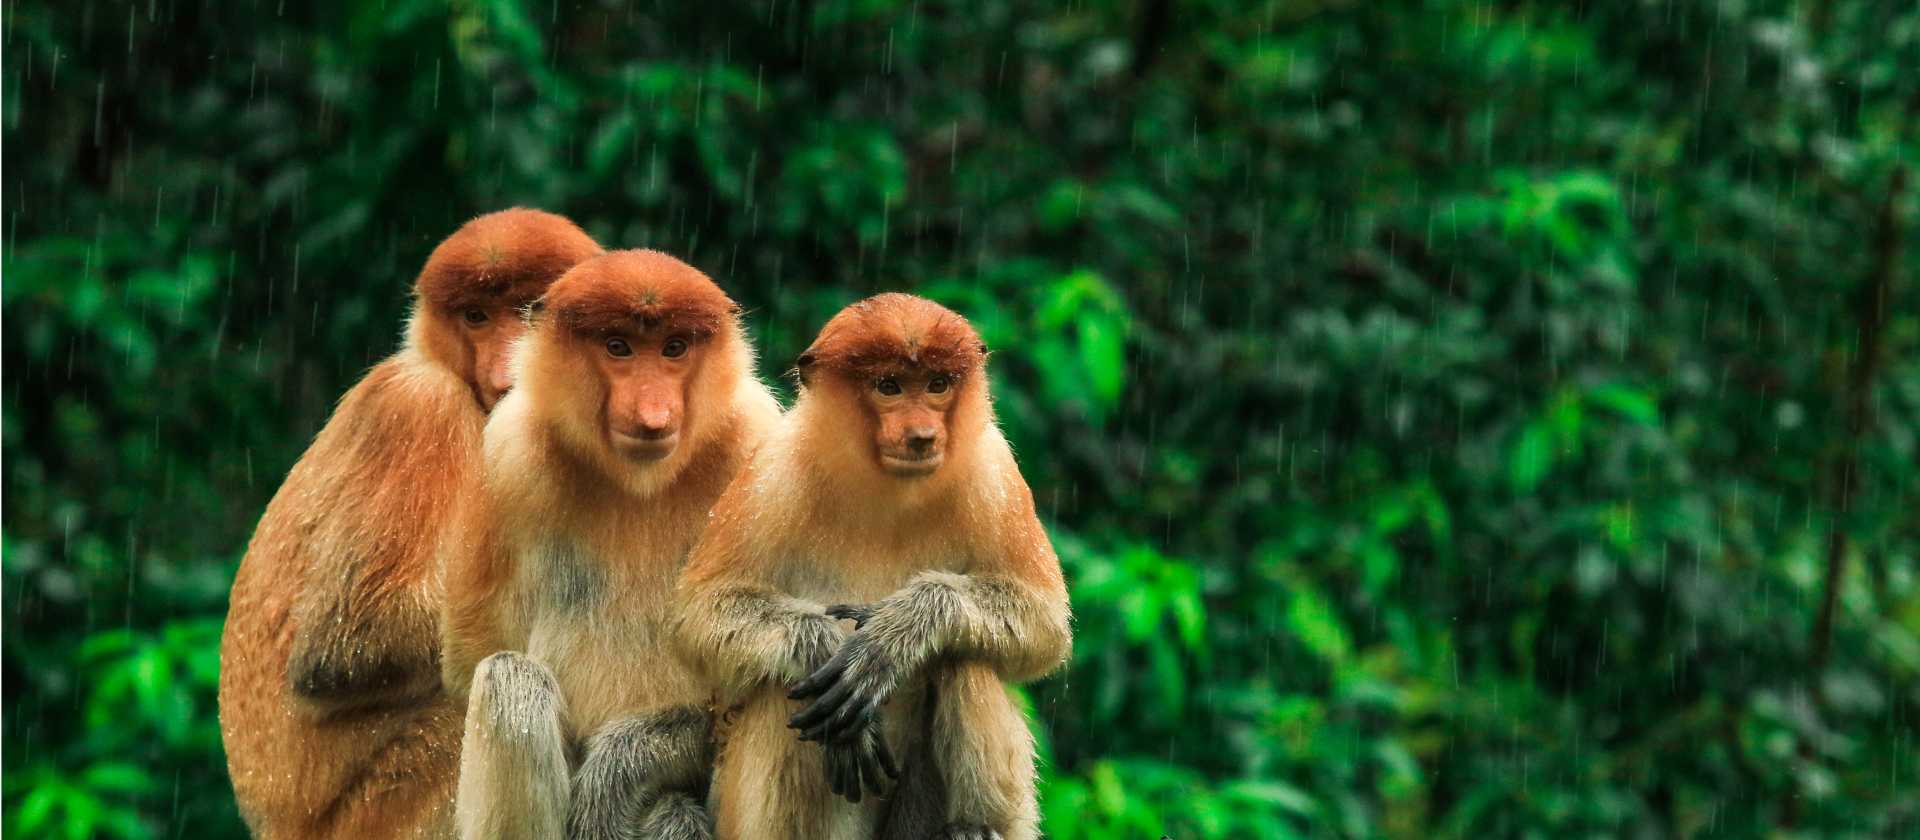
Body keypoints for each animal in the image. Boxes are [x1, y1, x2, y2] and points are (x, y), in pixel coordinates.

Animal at [219, 208, 603, 840]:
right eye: (476, 316)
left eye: (527, 309)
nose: (507, 368)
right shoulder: (420, 408)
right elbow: (343, 645)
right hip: (375, 815)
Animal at [437, 249, 782, 840]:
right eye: (618, 347)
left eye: (674, 348)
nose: (653, 414)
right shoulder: (506, 453)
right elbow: (471, 654)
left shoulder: (754, 442)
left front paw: (627, 766)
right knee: (510, 682)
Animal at [674, 293, 1073, 840]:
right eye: (889, 386)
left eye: (938, 384)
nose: (923, 436)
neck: (886, 487)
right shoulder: (770, 473)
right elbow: (701, 616)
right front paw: (821, 648)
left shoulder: (994, 472)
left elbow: (1045, 625)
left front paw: (893, 636)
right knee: (782, 689)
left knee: (963, 658)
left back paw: (971, 826)